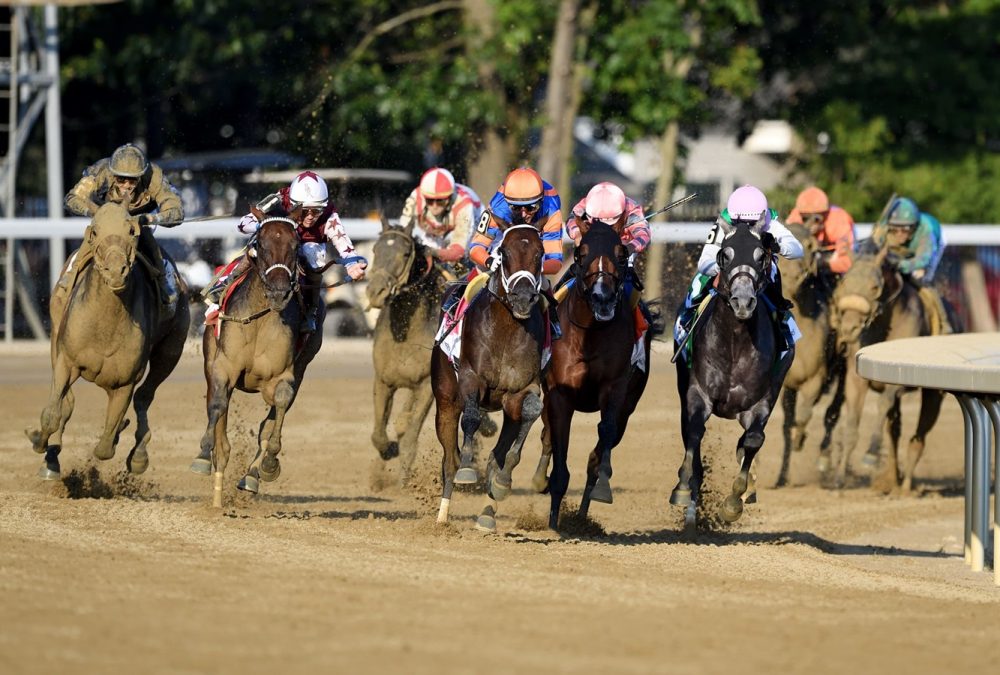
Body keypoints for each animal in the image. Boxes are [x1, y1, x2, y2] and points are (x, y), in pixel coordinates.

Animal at [26, 203, 190, 478]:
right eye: (94, 232)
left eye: (132, 232)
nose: (115, 271)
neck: (104, 327)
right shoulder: (66, 361)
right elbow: (53, 413)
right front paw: (41, 444)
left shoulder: (125, 381)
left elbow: (105, 448)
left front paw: (119, 436)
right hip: (56, 338)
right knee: (68, 402)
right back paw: (52, 459)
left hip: (171, 351)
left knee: (144, 395)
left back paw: (139, 455)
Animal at [193, 211, 322, 508]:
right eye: (260, 244)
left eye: (296, 246)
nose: (278, 291)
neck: (260, 321)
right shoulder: (223, 367)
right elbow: (217, 405)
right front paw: (204, 455)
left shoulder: (286, 374)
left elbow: (278, 409)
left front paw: (269, 465)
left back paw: (251, 476)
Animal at [528, 222, 660, 528]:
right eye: (580, 253)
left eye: (621, 254)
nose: (602, 299)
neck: (590, 334)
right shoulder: (559, 394)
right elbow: (557, 443)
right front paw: (553, 520)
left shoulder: (615, 390)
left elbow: (605, 434)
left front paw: (601, 488)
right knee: (547, 435)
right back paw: (541, 481)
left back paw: (581, 515)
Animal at [668, 224, 792, 524]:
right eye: (725, 254)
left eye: (761, 256)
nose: (743, 302)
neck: (736, 341)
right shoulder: (698, 392)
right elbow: (694, 430)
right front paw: (683, 487)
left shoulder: (760, 402)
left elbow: (753, 439)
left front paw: (735, 501)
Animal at [828, 246, 944, 494]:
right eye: (844, 282)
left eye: (874, 286)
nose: (849, 328)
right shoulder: (855, 379)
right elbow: (852, 424)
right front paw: (839, 479)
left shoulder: (900, 380)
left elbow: (883, 403)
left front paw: (871, 453)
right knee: (895, 430)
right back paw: (893, 478)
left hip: (934, 394)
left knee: (918, 436)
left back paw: (906, 487)